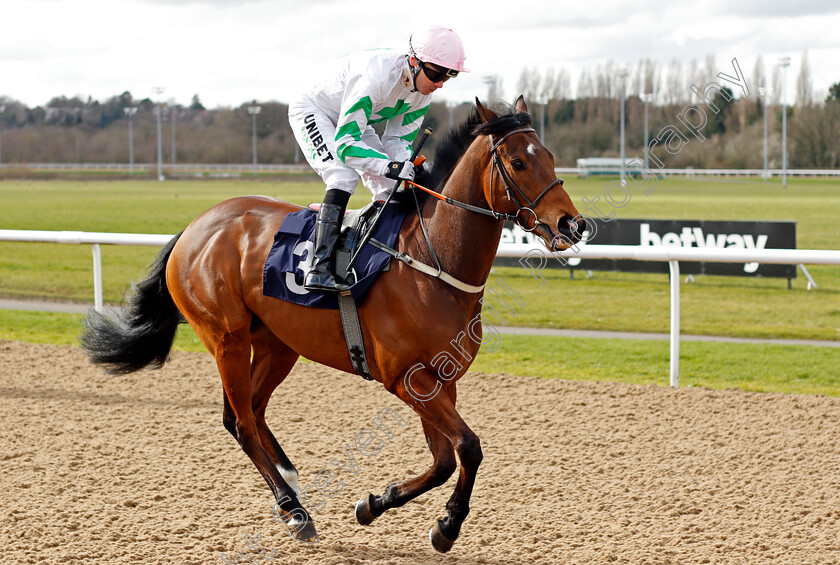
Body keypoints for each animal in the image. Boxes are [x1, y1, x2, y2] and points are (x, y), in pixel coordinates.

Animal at [82, 96, 588, 552]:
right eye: (519, 162)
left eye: (550, 156)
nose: (573, 224)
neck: (431, 261)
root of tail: (193, 228)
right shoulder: (407, 378)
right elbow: (468, 447)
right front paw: (448, 525)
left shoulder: (442, 379)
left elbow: (446, 458)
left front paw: (375, 504)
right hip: (226, 338)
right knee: (241, 423)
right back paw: (295, 511)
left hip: (278, 344)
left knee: (250, 413)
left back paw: (290, 482)